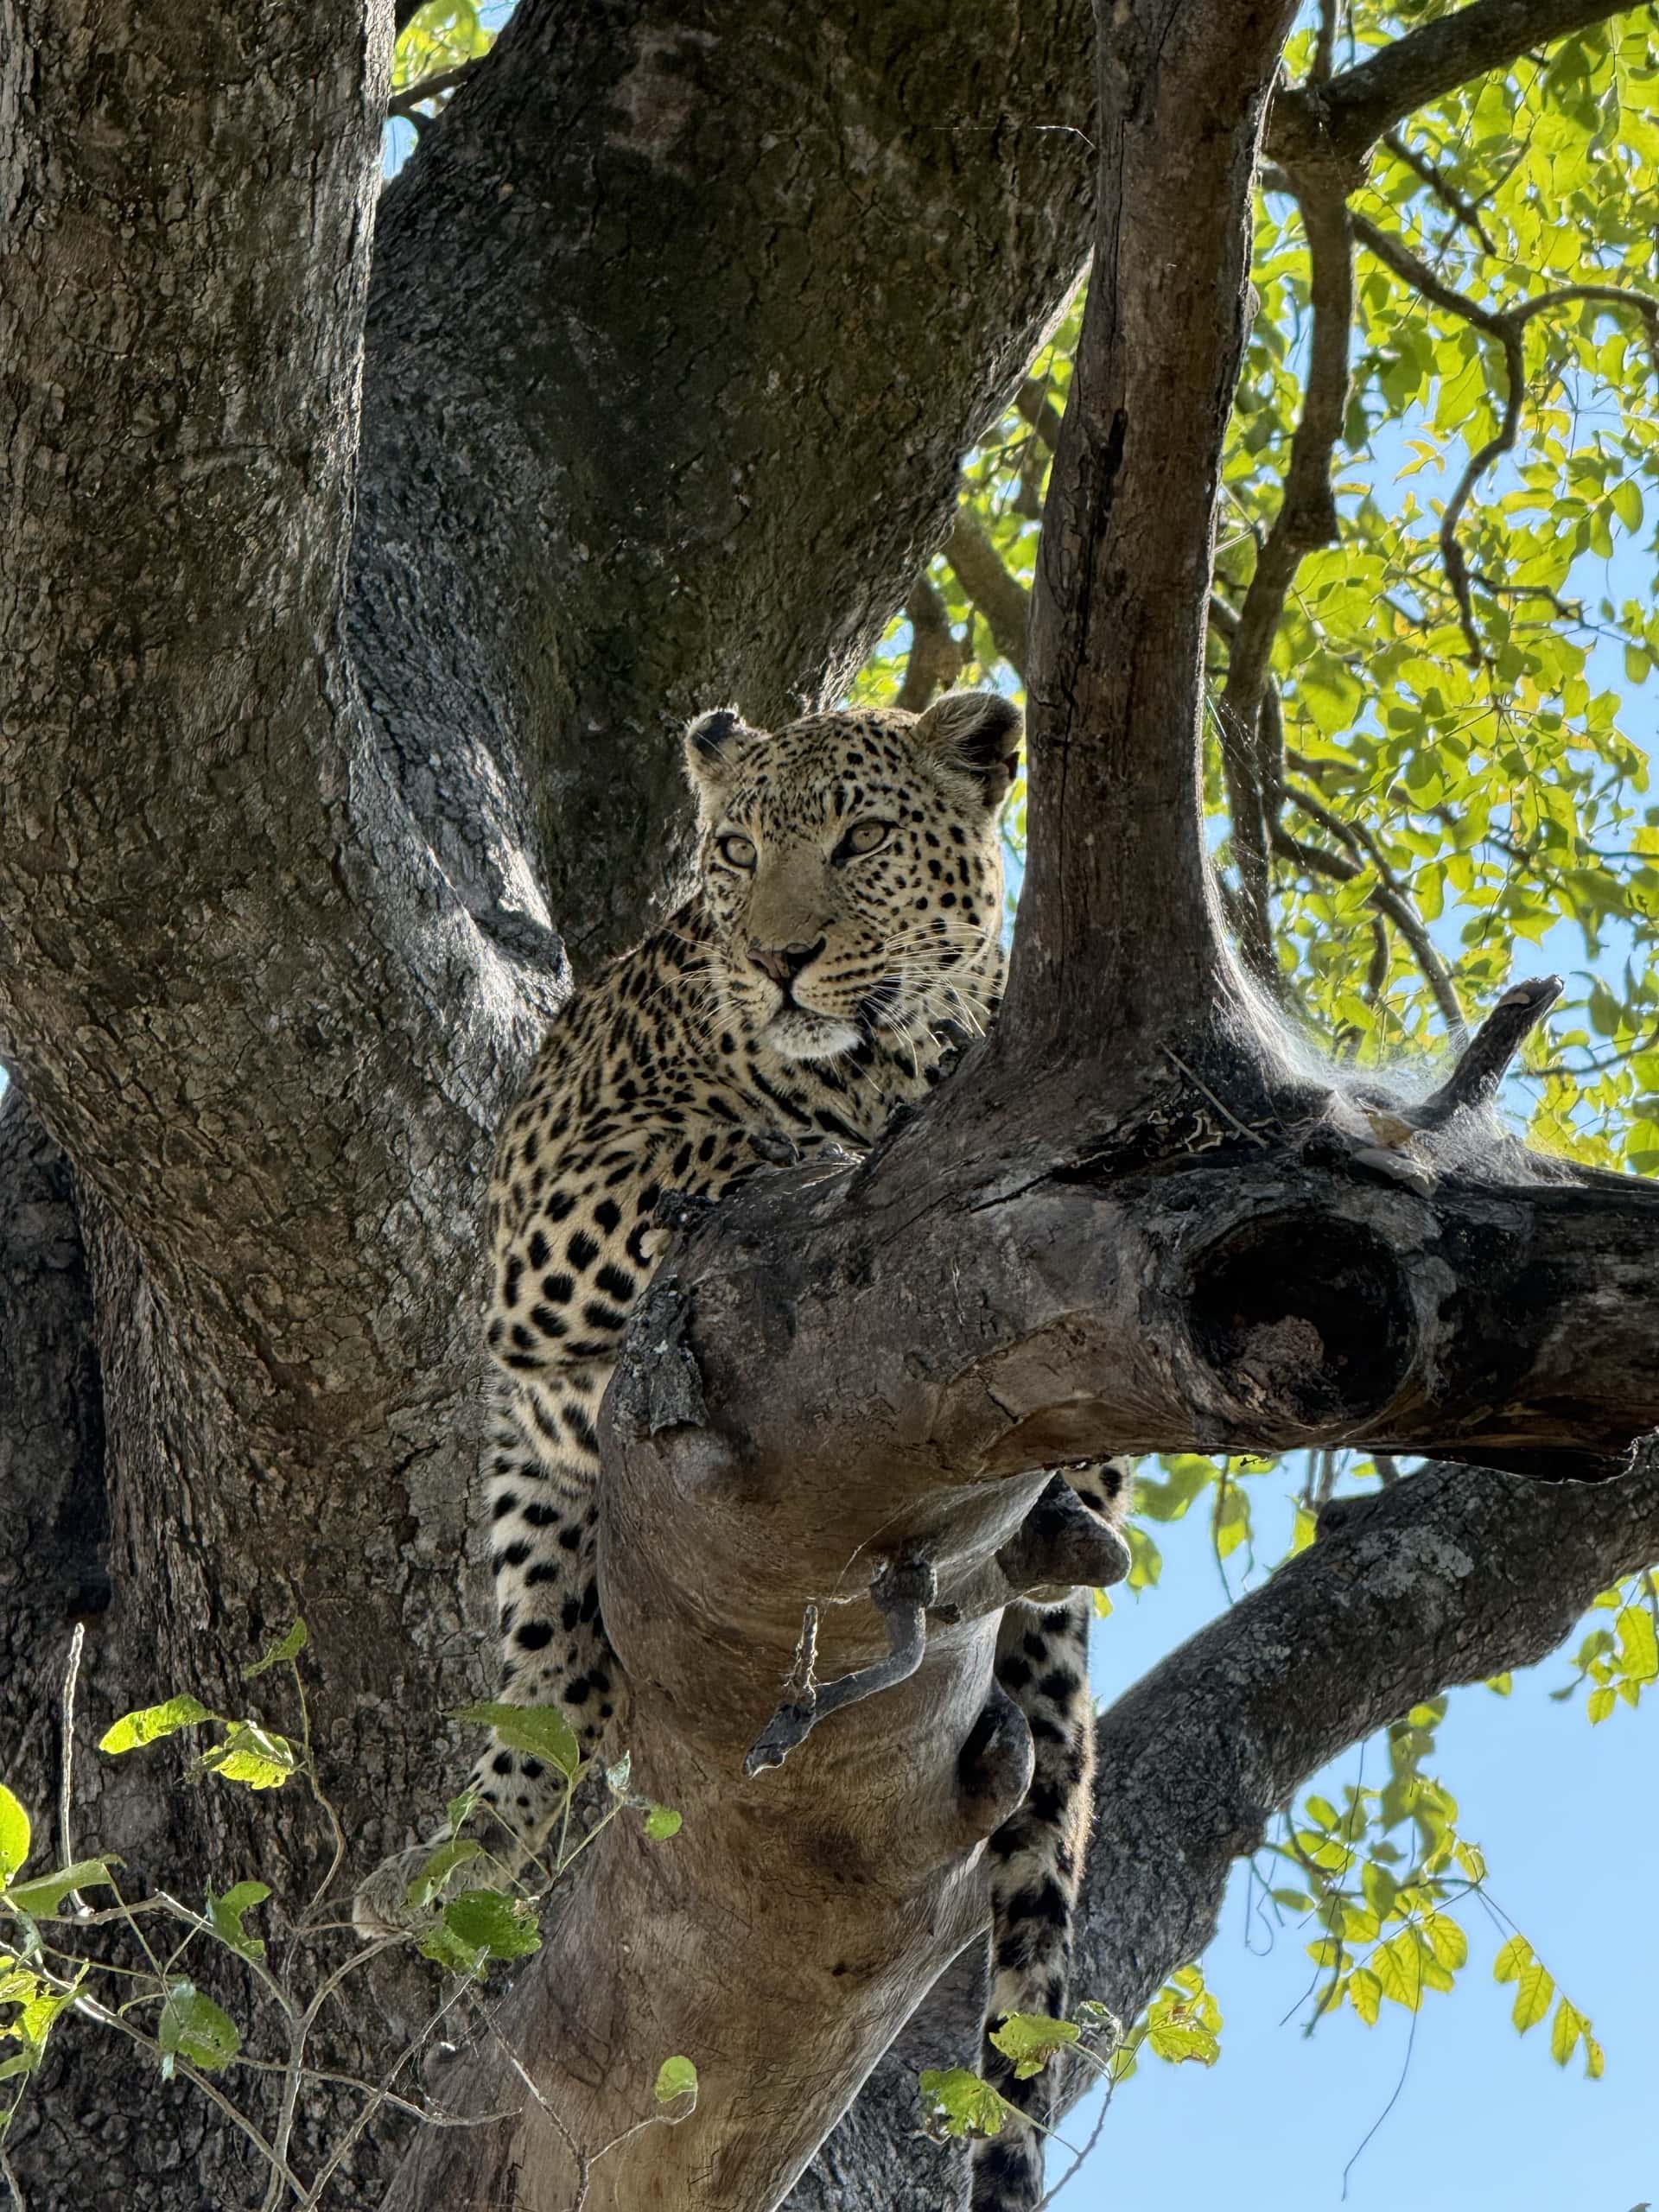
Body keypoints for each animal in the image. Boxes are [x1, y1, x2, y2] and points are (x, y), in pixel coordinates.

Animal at [477, 690, 1129, 2211]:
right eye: (735, 850)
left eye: (859, 840)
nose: (779, 959)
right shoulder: (550, 1212)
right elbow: (730, 1150)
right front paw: (802, 1139)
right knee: (554, 1694)